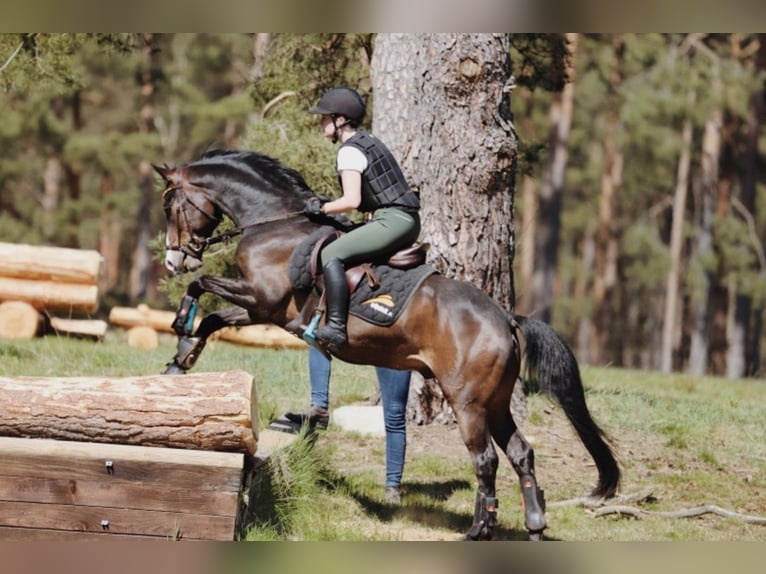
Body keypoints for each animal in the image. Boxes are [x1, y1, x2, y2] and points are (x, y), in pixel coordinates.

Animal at [155, 148, 620, 541]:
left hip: (467, 401)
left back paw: (478, 530)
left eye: (170, 207)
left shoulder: (262, 299)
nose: (173, 260)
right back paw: (535, 526)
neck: (275, 223)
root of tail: (505, 319)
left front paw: (180, 326)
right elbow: (214, 319)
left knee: (485, 459)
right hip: (497, 402)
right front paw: (181, 361)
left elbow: (202, 287)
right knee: (522, 453)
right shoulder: (262, 310)